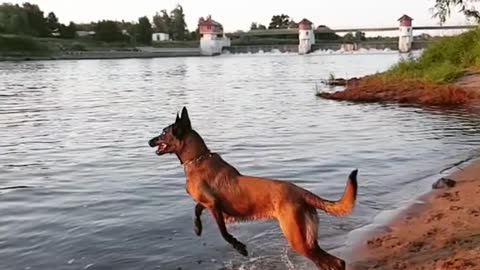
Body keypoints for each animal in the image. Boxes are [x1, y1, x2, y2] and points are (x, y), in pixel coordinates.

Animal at [148, 106, 358, 268]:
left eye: (164, 132)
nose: (149, 141)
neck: (197, 159)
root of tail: (301, 192)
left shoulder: (214, 205)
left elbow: (224, 233)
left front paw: (239, 247)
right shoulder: (208, 203)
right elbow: (196, 210)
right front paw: (197, 228)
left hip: (298, 239)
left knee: (332, 262)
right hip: (307, 238)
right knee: (335, 262)